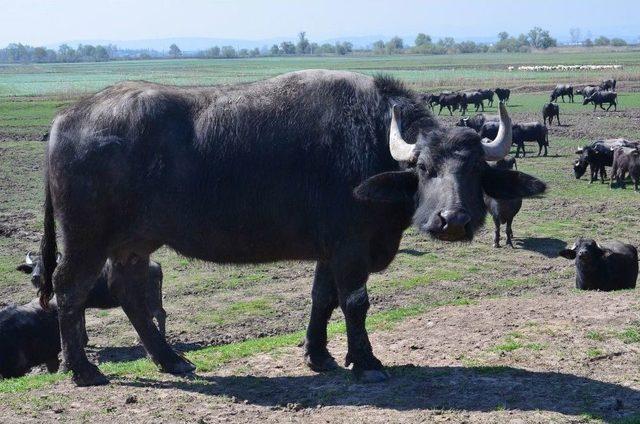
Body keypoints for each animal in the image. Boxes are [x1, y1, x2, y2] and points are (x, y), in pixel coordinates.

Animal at [16, 252, 166, 338]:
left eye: (46, 265)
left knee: (159, 314)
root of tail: (156, 265)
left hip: (151, 297)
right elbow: (82, 321)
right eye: (33, 266)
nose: (35, 277)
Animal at [40, 70, 544, 388]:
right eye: (422, 168)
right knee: (69, 289)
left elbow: (322, 299)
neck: (371, 145)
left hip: (134, 243)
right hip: (85, 239)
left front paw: (318, 356)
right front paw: (366, 361)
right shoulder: (351, 248)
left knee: (129, 290)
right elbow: (355, 303)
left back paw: (170, 360)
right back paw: (84, 370)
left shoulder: (331, 249)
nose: (452, 221)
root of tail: (65, 120)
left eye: (475, 169)